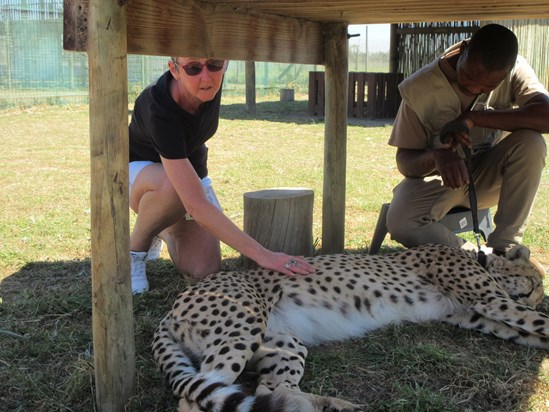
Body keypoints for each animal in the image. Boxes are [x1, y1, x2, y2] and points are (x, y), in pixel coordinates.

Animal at [150, 243, 544, 410]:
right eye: (537, 282)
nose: (540, 298)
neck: (478, 258)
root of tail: (171, 309)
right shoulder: (492, 302)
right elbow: (540, 323)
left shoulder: (476, 314)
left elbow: (525, 329)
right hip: (243, 326)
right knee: (196, 398)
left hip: (285, 343)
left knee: (269, 390)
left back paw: (333, 406)